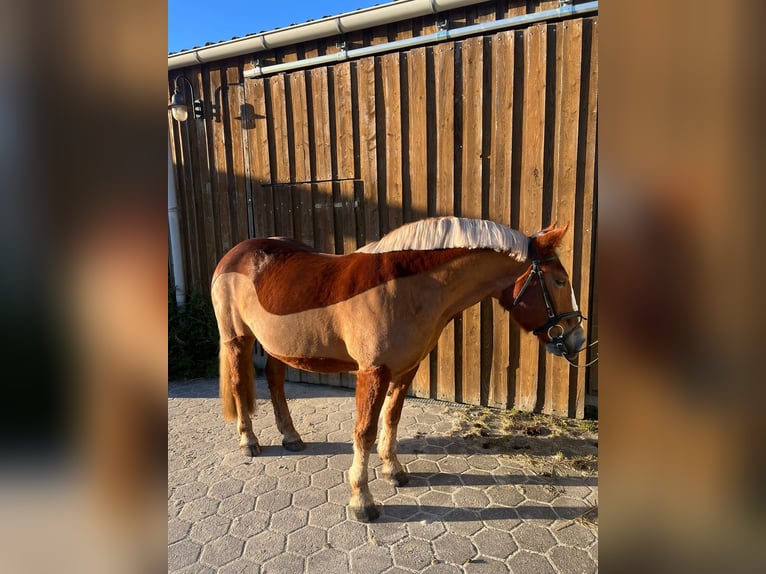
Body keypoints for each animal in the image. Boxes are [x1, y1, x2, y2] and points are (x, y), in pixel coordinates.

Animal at [210, 216, 588, 520]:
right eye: (558, 280)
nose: (577, 339)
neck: (403, 288)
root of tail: (234, 255)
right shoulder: (372, 373)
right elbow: (364, 432)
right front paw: (362, 501)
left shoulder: (405, 369)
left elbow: (391, 419)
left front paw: (393, 471)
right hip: (237, 340)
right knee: (239, 384)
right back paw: (249, 441)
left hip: (279, 346)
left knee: (275, 381)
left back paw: (291, 437)